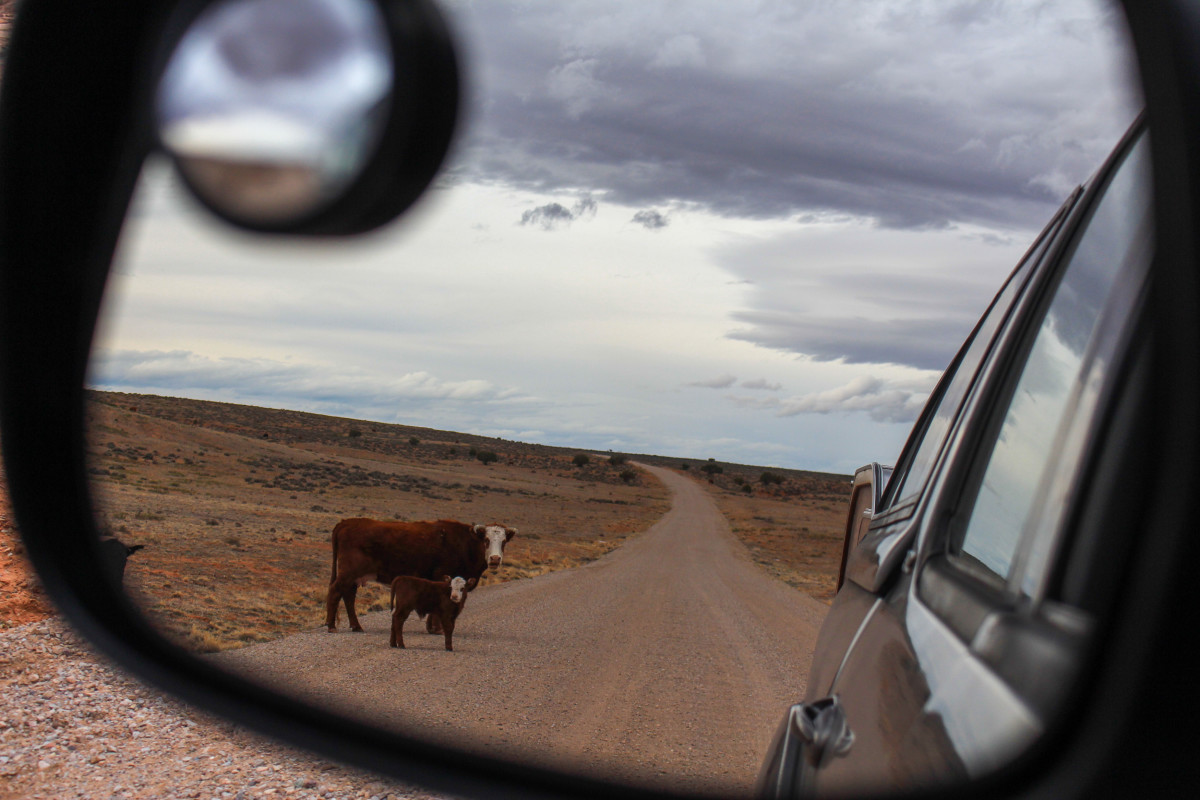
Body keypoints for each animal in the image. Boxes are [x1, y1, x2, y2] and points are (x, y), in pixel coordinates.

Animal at [326, 520, 518, 633]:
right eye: (486, 540)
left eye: (503, 542)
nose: (495, 559)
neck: (465, 543)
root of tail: (347, 522)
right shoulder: (443, 576)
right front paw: (437, 628)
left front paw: (432, 627)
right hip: (348, 573)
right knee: (335, 593)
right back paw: (332, 626)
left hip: (354, 577)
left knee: (348, 597)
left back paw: (356, 626)